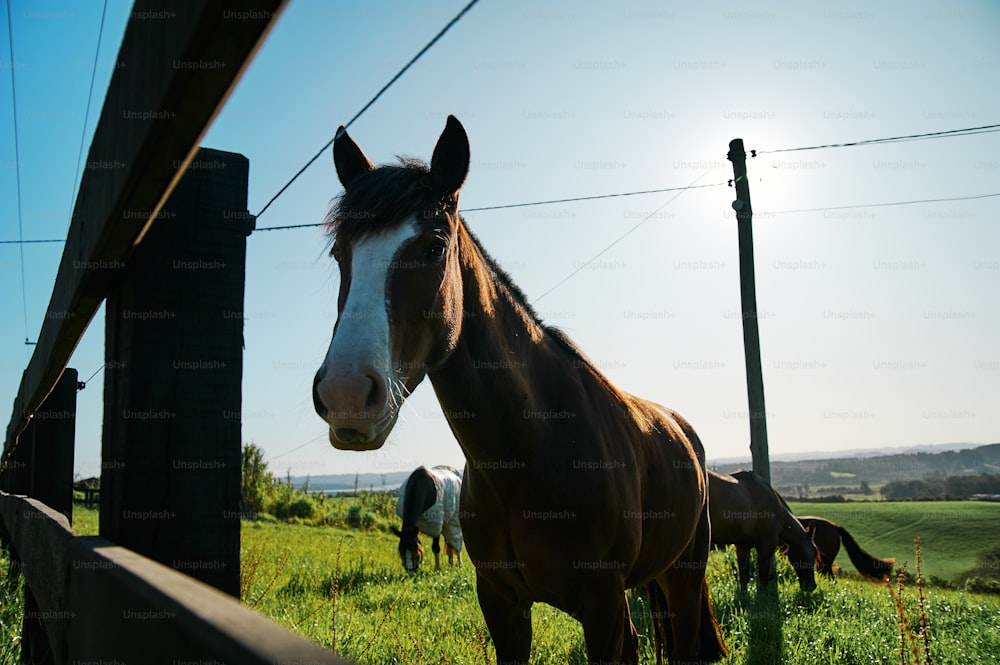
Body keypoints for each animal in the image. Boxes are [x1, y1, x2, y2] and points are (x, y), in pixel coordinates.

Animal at [312, 116, 728, 660]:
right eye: (340, 253)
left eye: (434, 247)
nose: (345, 395)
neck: (535, 447)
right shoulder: (502, 602)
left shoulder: (601, 607)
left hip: (682, 578)